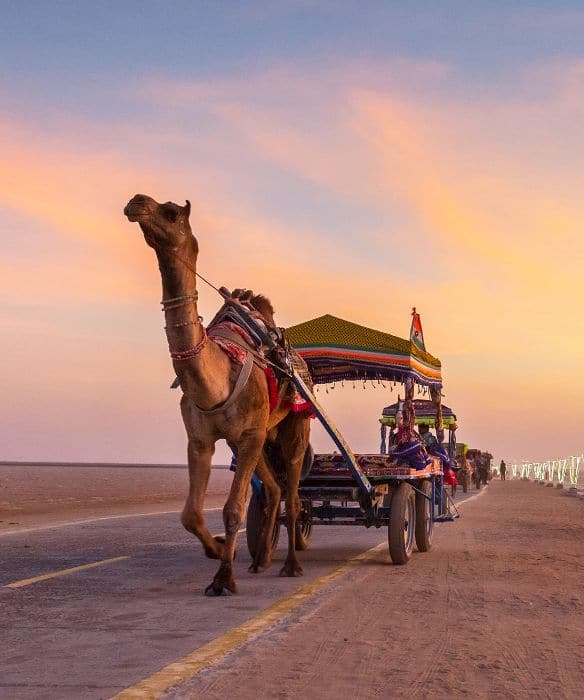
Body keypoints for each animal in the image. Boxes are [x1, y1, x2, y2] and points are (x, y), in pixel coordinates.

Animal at [124, 193, 312, 596]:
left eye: (171, 212)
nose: (136, 201)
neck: (217, 380)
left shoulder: (249, 433)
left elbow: (232, 509)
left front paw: (224, 578)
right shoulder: (202, 439)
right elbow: (190, 514)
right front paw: (219, 550)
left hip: (293, 425)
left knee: (292, 494)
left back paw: (290, 564)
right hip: (258, 438)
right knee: (274, 490)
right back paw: (261, 559)